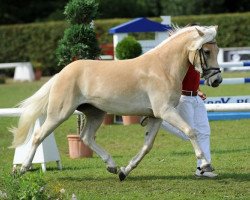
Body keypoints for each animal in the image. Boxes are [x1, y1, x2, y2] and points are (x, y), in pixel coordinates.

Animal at [11, 25, 223, 181]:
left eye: (217, 50)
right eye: (206, 51)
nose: (217, 80)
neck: (163, 68)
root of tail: (61, 73)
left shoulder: (156, 117)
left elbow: (147, 146)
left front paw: (124, 171)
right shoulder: (166, 111)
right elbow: (190, 131)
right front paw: (206, 164)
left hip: (96, 113)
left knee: (86, 137)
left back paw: (112, 166)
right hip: (59, 114)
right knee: (38, 135)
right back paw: (22, 169)